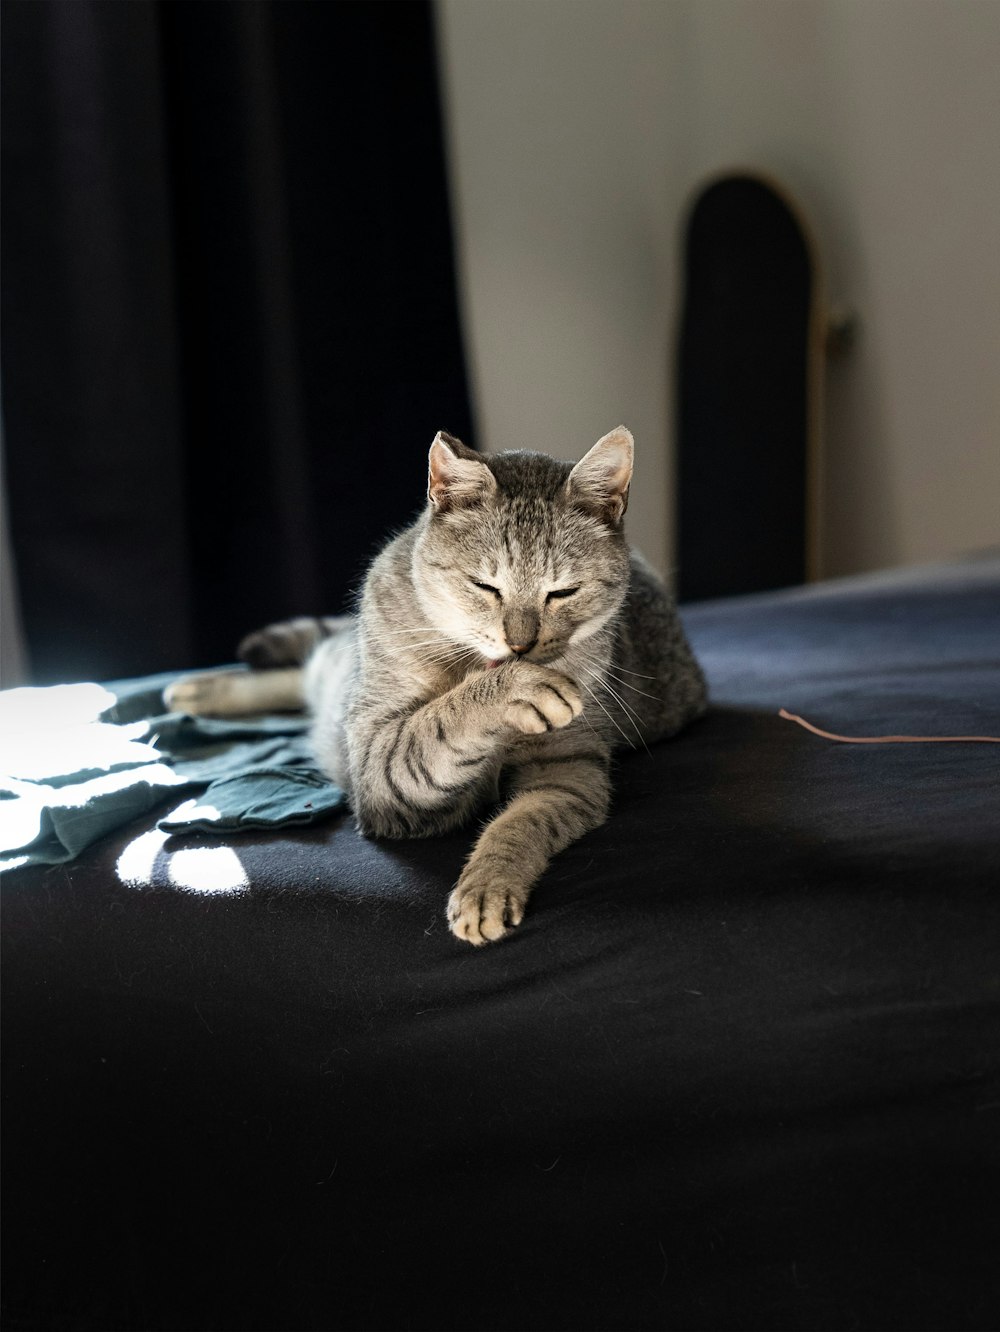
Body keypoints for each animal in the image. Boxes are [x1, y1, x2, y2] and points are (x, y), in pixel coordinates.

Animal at [164, 423, 708, 937]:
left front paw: (488, 886)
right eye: (485, 586)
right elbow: (437, 725)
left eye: (562, 592)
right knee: (308, 669)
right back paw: (195, 689)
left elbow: (518, 825)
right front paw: (513, 687)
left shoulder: (568, 775)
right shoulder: (378, 765)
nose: (520, 647)